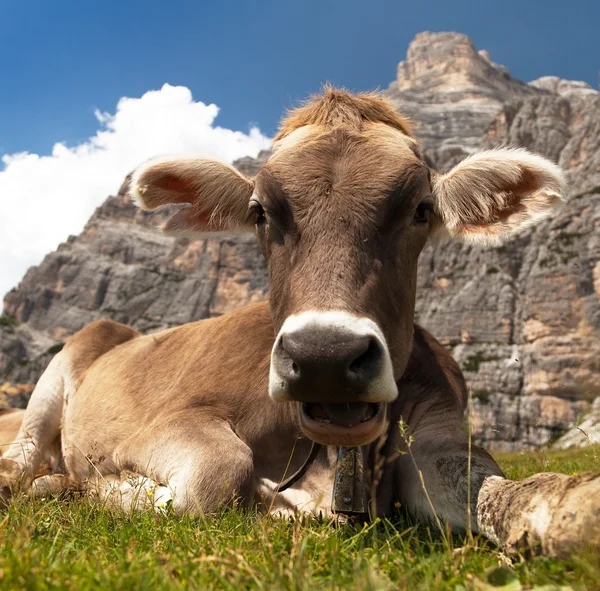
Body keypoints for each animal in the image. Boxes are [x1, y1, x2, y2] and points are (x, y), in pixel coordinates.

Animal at [2, 89, 596, 560]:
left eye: (421, 209)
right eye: (260, 212)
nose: (323, 357)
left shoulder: (440, 430)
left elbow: (500, 492)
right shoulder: (166, 423)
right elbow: (217, 474)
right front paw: (101, 489)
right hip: (57, 374)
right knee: (24, 460)